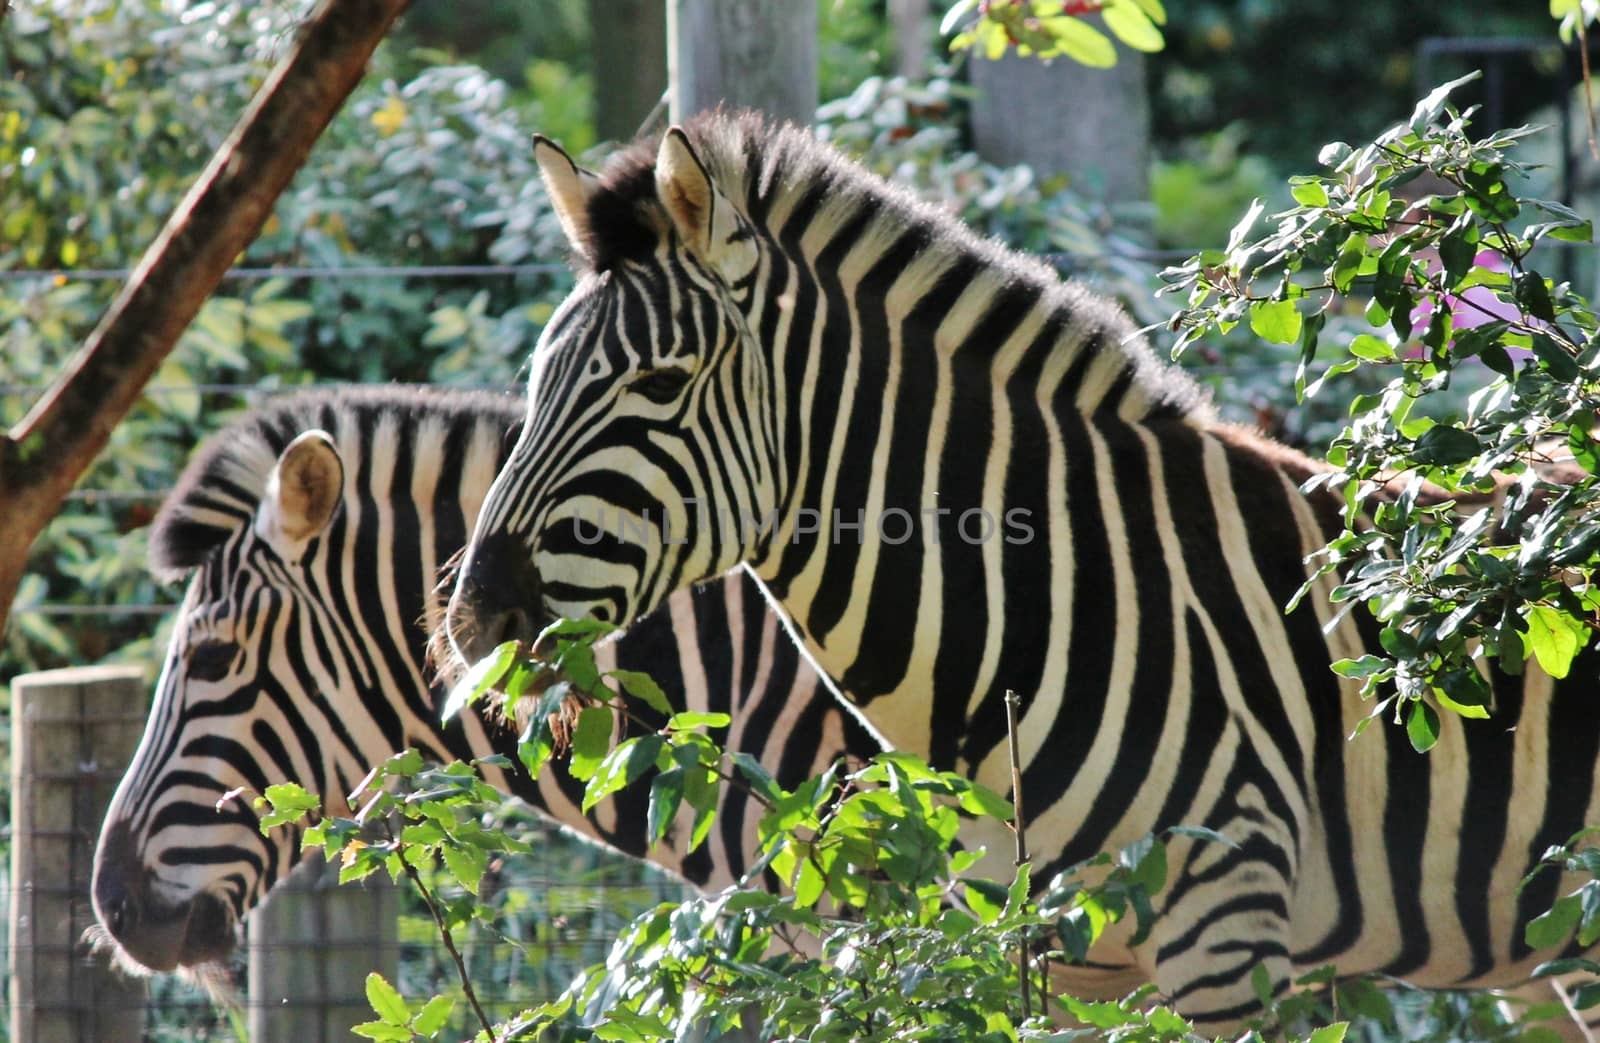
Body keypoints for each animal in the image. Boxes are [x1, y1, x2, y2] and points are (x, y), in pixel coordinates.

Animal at [444, 111, 1600, 1023]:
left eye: (661, 381)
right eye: (534, 379)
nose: (474, 618)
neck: (1034, 610)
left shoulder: (1226, 931)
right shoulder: (1061, 951)